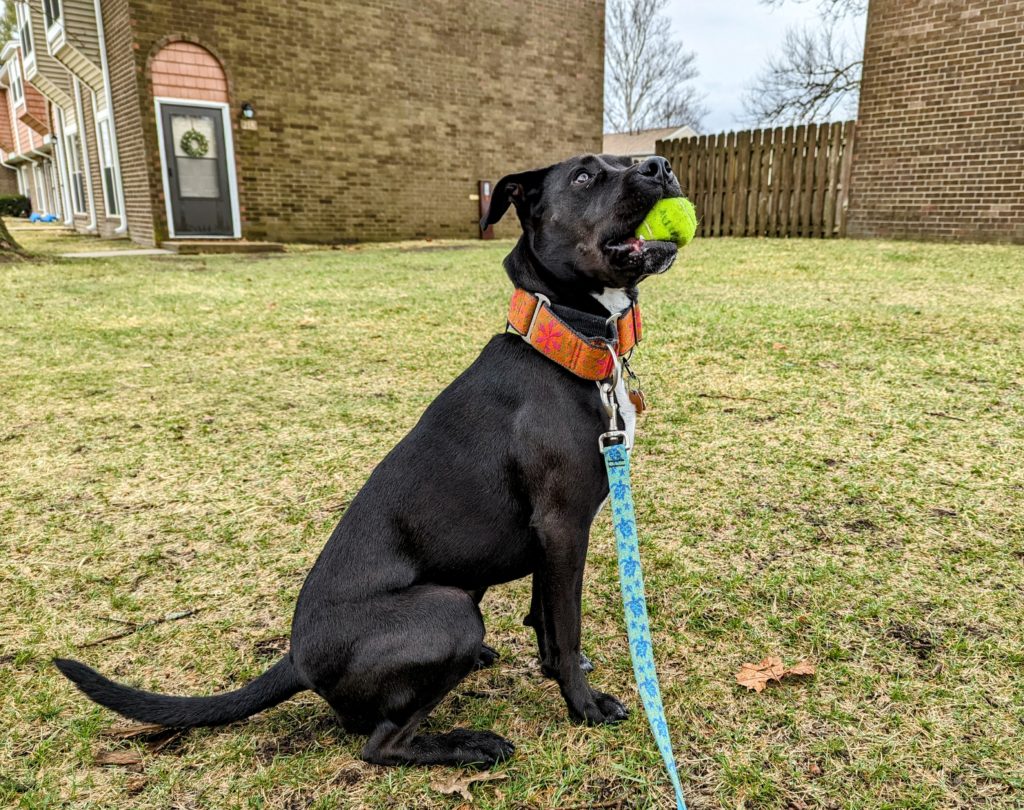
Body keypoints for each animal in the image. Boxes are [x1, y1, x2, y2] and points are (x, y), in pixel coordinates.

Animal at [54, 155, 679, 770]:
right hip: (451, 611)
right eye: (584, 176)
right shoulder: (562, 527)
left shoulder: (551, 539)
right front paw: (584, 705)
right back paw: (470, 744)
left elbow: (545, 621)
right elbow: (566, 628)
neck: (564, 343)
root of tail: (297, 660)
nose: (659, 164)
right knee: (380, 744)